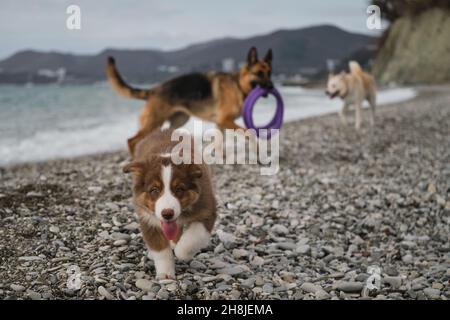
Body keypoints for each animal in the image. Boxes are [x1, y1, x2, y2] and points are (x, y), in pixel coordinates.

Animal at [108, 46, 274, 158]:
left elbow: (220, 142)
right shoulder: (224, 120)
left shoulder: (220, 124)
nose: (272, 87)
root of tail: (154, 89)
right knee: (131, 140)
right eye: (259, 73)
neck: (238, 85)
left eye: (269, 73)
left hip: (178, 120)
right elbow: (249, 132)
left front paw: (222, 157)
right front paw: (256, 149)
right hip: (154, 122)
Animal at [122, 129, 215, 278]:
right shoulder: (147, 219)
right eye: (154, 190)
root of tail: (162, 130)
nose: (167, 214)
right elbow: (160, 249)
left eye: (179, 189)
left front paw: (183, 252)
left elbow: (195, 236)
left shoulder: (207, 208)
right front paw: (165, 274)